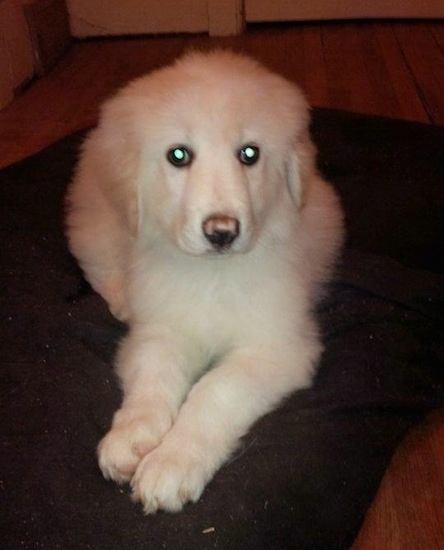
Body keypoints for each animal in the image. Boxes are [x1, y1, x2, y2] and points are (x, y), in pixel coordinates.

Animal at [65, 49, 344, 516]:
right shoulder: (162, 329)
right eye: (178, 155)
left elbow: (215, 390)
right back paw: (122, 299)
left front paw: (172, 462)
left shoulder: (276, 348)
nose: (222, 232)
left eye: (249, 153)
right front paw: (131, 437)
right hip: (99, 220)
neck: (214, 274)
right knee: (97, 262)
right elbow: (153, 379)